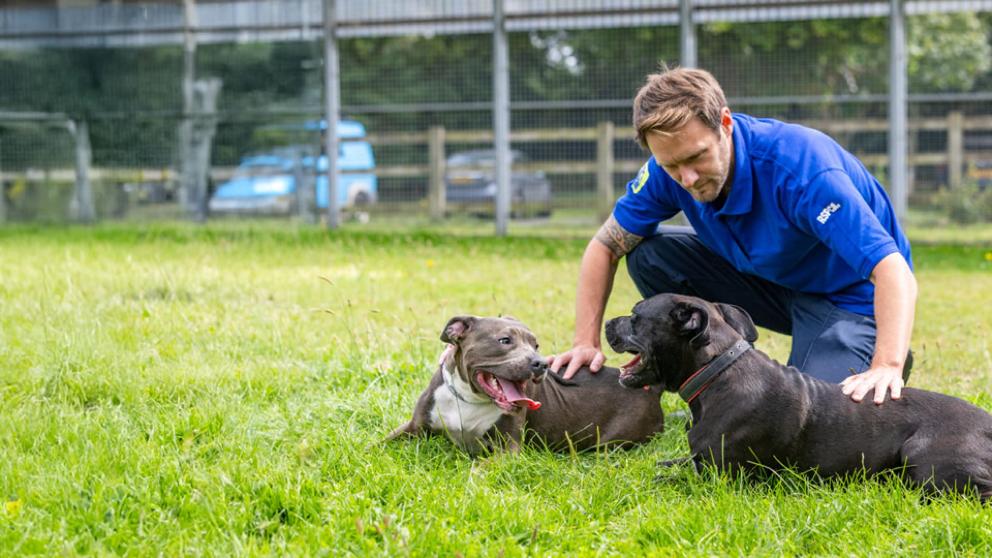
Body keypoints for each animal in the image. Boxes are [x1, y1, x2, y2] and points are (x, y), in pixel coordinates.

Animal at [604, 294, 992, 504]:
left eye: (636, 317)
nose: (607, 323)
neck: (717, 371)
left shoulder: (720, 479)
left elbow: (665, 480)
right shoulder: (700, 461)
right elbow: (673, 463)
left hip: (924, 458)